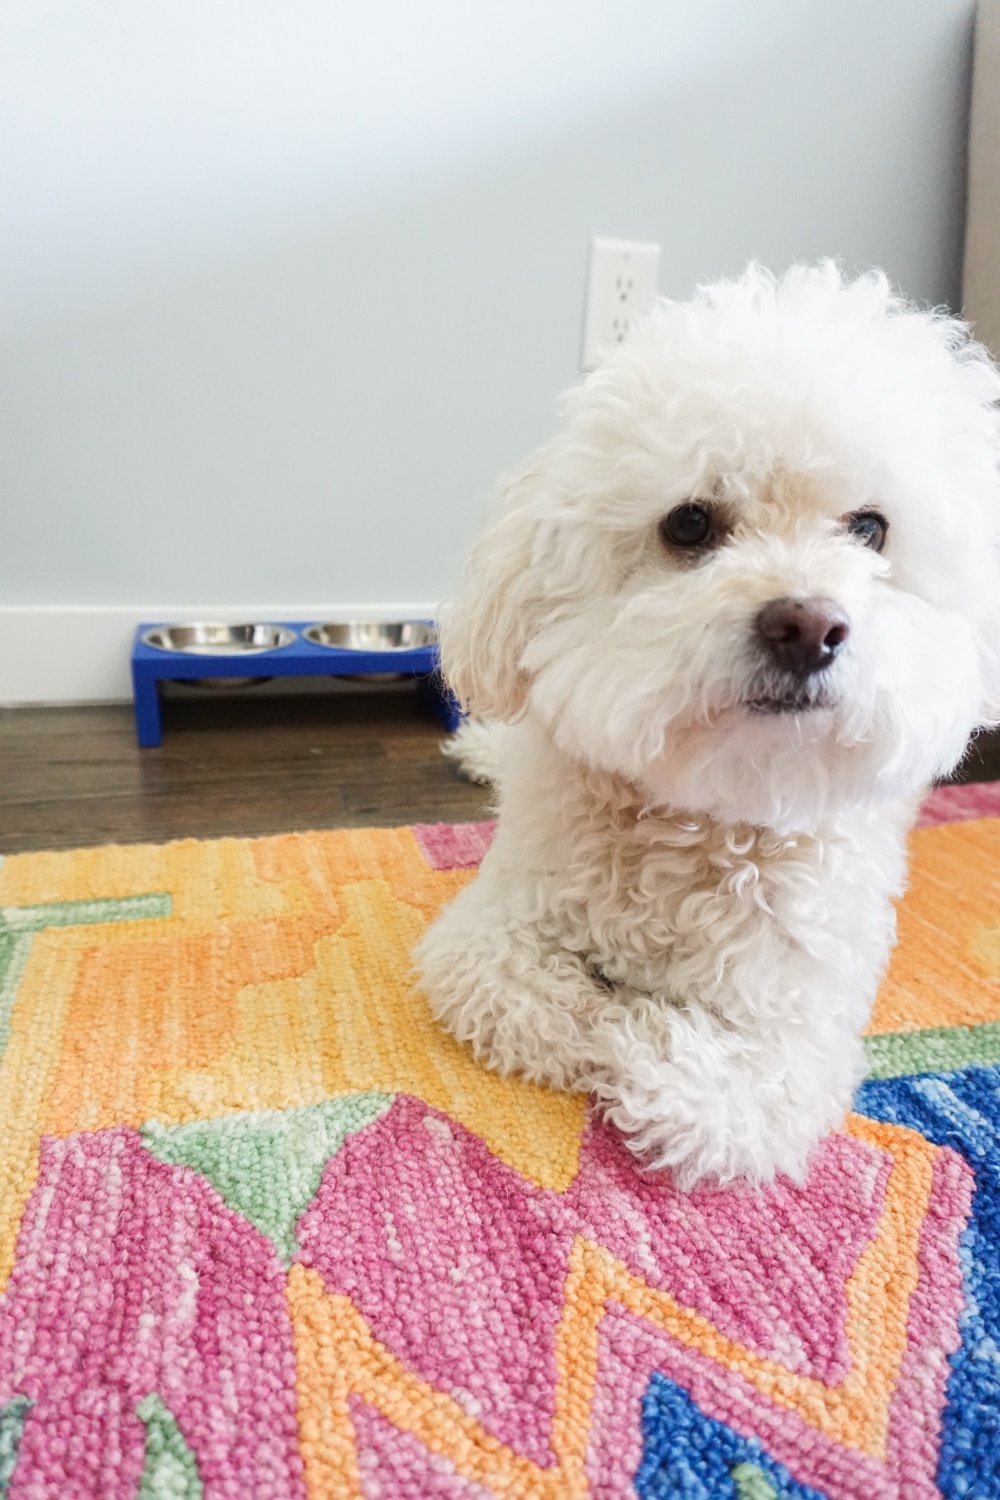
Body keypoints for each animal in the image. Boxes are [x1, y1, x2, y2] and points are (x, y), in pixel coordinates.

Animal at [413, 267, 1000, 1182]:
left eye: (870, 528)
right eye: (689, 523)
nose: (807, 626)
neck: (706, 819)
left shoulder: (797, 1034)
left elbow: (705, 1093)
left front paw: (638, 1031)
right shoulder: (490, 933)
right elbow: (539, 1003)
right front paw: (604, 1014)